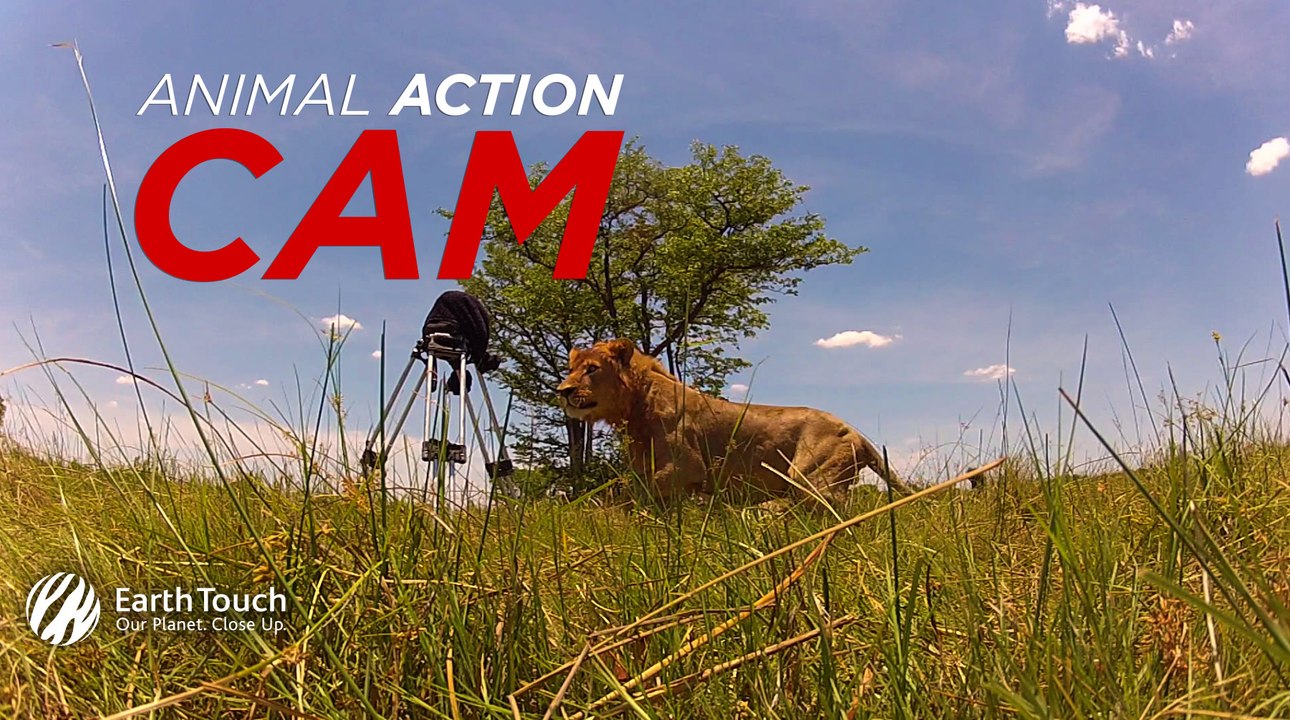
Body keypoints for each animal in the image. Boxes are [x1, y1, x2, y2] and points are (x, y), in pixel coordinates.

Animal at [556, 339, 912, 505]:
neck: (634, 407)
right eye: (572, 369)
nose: (563, 391)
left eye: (592, 369)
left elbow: (632, 502)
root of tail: (855, 432)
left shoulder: (684, 468)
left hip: (812, 479)